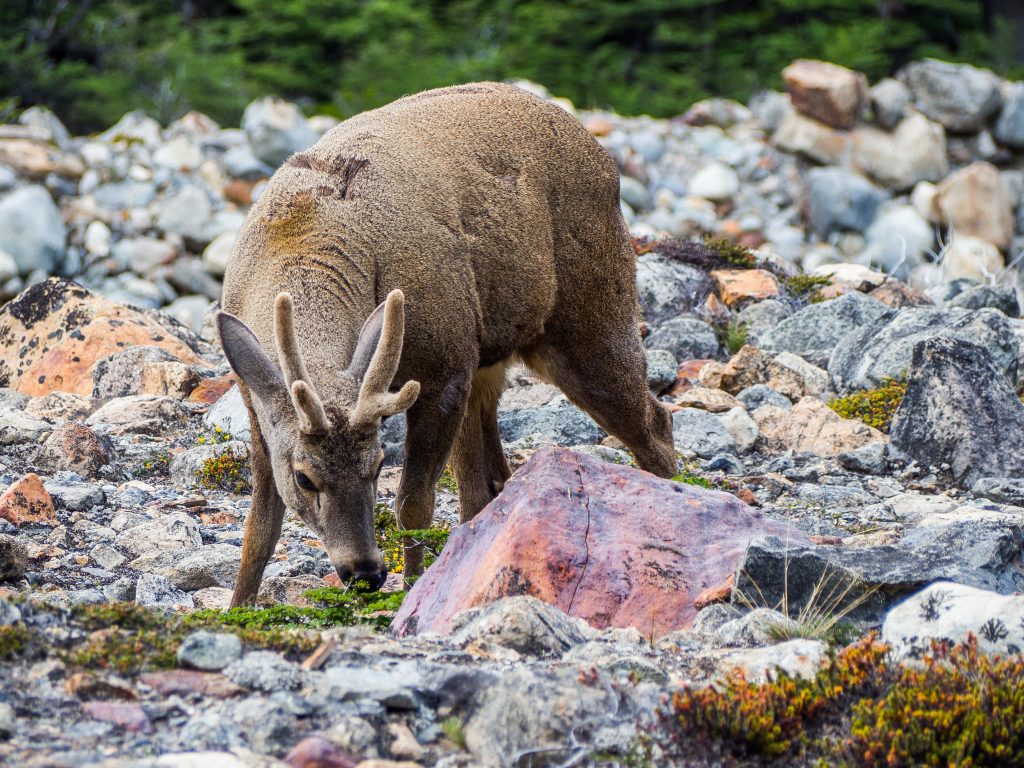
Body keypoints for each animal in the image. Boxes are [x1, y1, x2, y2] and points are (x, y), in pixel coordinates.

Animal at [217, 82, 678, 607]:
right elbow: (260, 524)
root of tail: (603, 157)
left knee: (654, 421)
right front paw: (236, 607)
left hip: (591, 316)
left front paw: (409, 593)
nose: (365, 572)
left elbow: (413, 506)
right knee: (493, 480)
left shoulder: (444, 367)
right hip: (489, 358)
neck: (300, 233)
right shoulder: (254, 398)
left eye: (378, 464)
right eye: (303, 476)